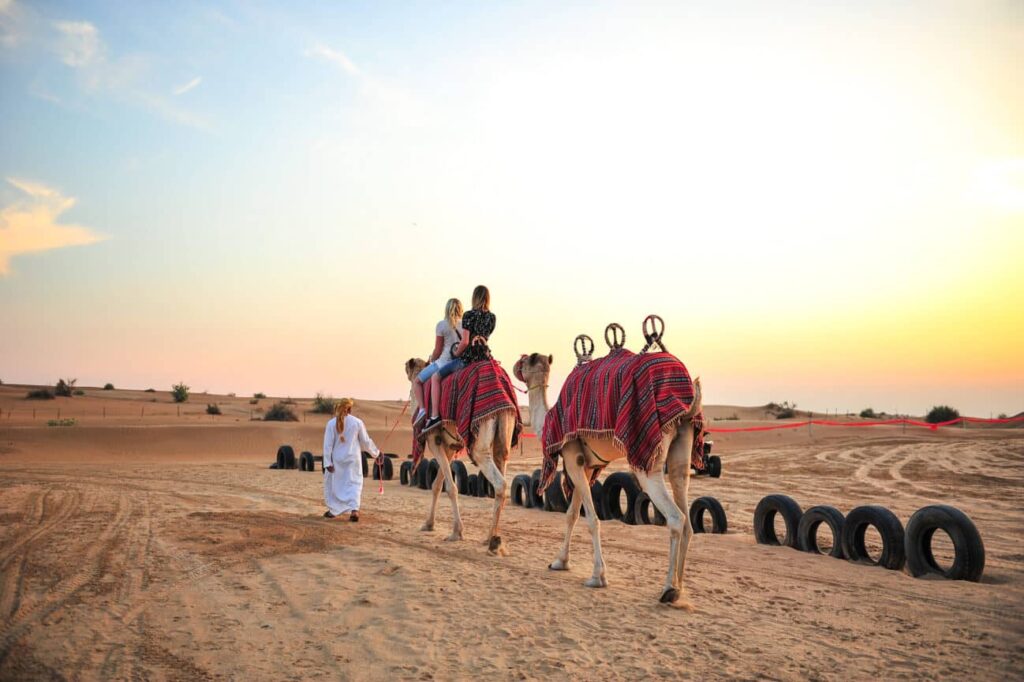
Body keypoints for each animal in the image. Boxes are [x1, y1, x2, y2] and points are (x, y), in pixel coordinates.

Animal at [401, 356, 516, 552]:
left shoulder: (433, 440)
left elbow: (450, 487)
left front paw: (456, 532)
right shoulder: (449, 446)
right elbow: (436, 484)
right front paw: (428, 524)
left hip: (480, 441)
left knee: (500, 483)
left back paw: (493, 543)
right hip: (504, 434)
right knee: (502, 467)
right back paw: (491, 537)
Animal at [516, 348, 700, 602]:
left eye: (525, 361)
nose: (515, 365)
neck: (549, 421)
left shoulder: (572, 457)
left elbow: (592, 520)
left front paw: (597, 576)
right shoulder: (585, 466)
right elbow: (572, 514)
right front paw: (560, 562)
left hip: (649, 457)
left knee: (675, 518)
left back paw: (668, 589)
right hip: (681, 445)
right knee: (685, 507)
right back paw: (679, 588)